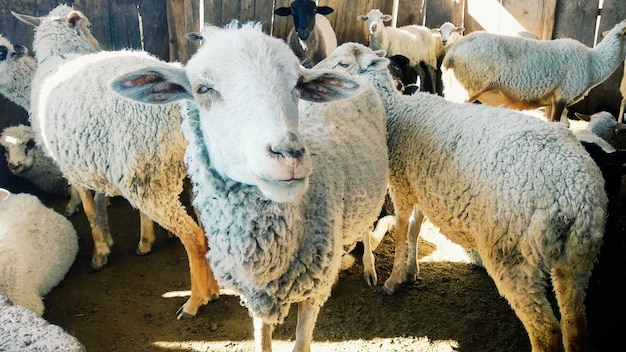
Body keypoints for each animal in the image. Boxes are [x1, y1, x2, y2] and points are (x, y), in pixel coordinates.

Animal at [10, 4, 222, 320]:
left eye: (87, 24)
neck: (61, 55)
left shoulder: (78, 169)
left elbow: (89, 210)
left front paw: (100, 252)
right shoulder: (108, 163)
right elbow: (106, 204)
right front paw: (141, 241)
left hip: (152, 177)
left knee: (193, 237)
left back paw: (196, 300)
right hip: (180, 173)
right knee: (206, 230)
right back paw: (215, 288)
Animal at [109, 21, 388, 352]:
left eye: (299, 85)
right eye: (203, 89)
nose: (289, 154)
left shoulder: (310, 292)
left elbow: (301, 344)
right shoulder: (258, 293)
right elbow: (262, 341)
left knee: (367, 230)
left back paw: (368, 267)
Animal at [316, 42, 604, 352]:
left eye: (342, 63)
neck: (395, 111)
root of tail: (578, 197)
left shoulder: (402, 185)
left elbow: (403, 231)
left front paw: (393, 280)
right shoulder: (424, 186)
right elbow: (415, 229)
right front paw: (411, 271)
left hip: (514, 257)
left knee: (546, 331)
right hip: (577, 262)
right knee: (575, 325)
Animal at [438, 20, 624, 124]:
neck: (593, 62)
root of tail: (452, 53)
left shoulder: (552, 100)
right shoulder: (562, 96)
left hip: (454, 88)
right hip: (467, 88)